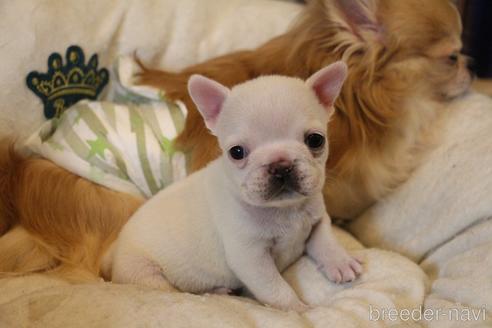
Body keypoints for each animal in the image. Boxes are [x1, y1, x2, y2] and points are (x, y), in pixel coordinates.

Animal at [110, 62, 362, 312]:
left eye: (316, 140)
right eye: (237, 152)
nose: (280, 165)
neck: (285, 209)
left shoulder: (317, 219)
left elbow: (325, 240)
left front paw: (340, 261)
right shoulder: (250, 257)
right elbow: (275, 288)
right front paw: (297, 309)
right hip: (145, 274)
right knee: (170, 290)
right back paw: (217, 292)